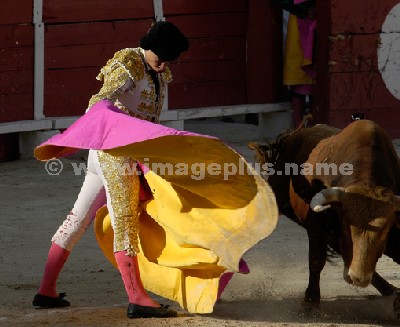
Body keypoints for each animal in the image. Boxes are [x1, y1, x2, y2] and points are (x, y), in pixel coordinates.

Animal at [248, 120, 400, 316]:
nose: (358, 278)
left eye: (386, 232)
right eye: (346, 228)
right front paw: (310, 301)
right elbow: (316, 259)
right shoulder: (317, 223)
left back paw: (386, 287)